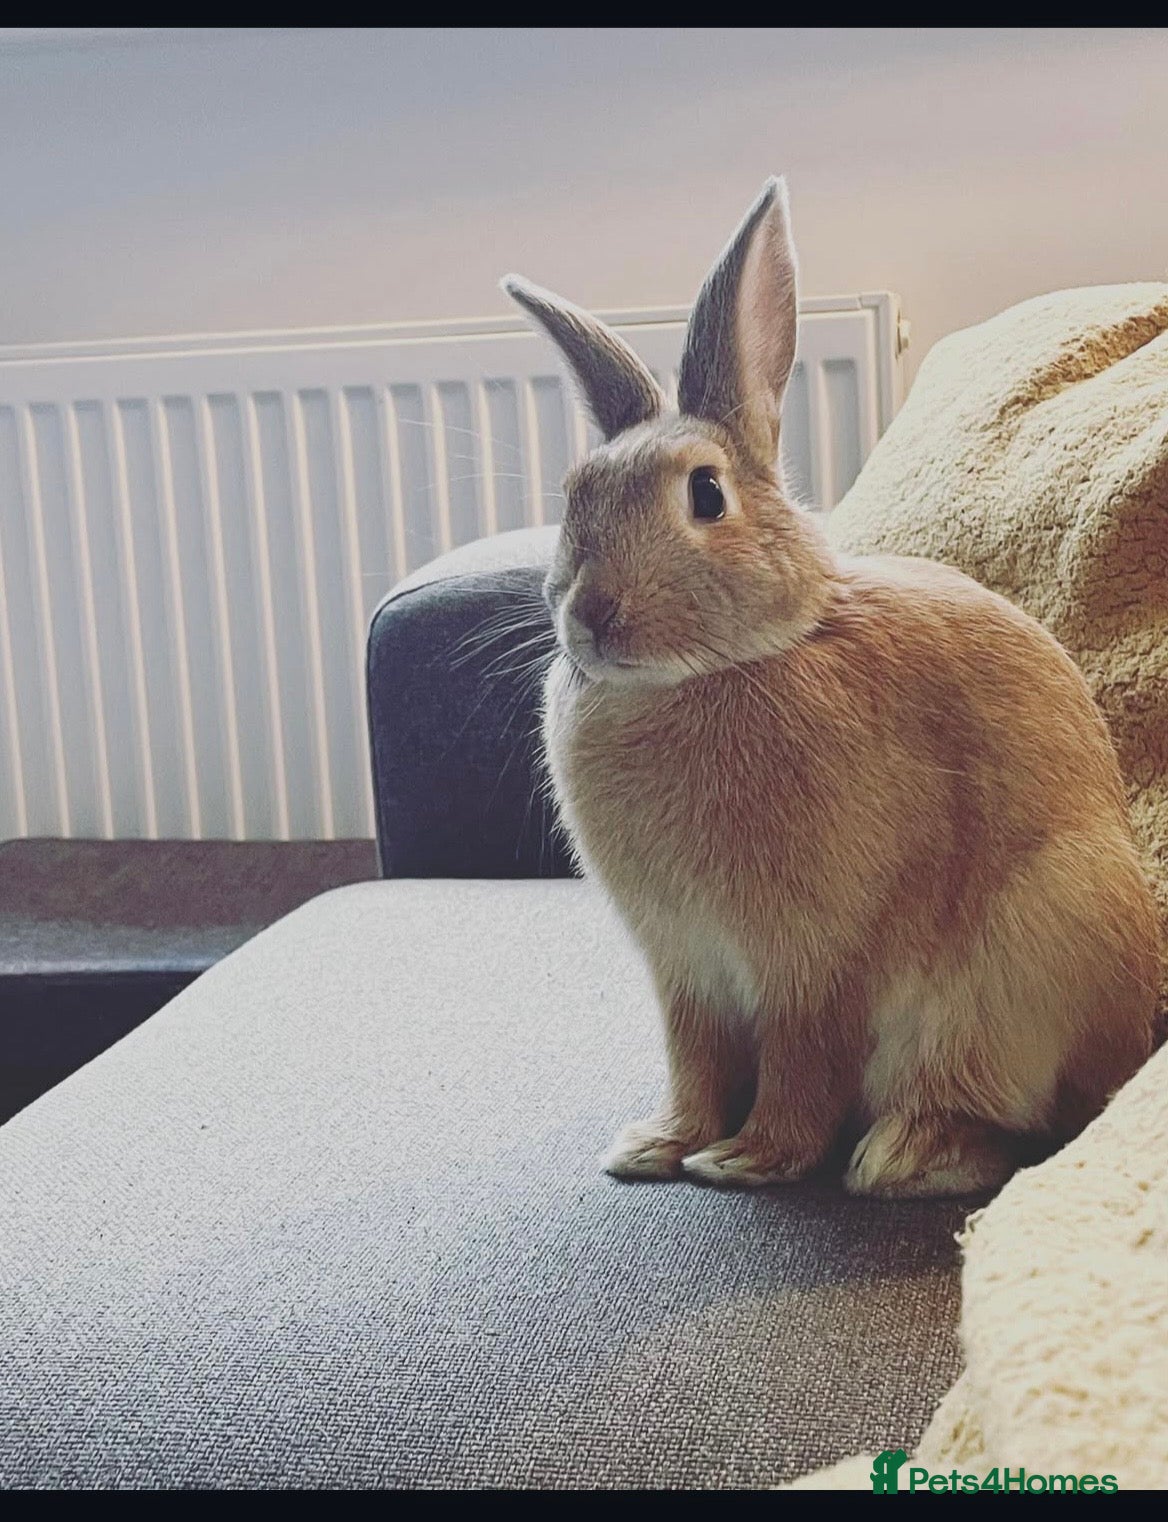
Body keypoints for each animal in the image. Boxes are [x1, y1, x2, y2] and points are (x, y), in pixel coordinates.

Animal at [501, 177, 1160, 1198]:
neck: (729, 664)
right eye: (575, 495)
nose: (593, 615)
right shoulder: (685, 973)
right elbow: (695, 1062)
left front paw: (745, 1160)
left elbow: (803, 1063)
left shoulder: (818, 962)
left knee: (1023, 1124)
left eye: (705, 495)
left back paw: (909, 1154)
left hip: (1029, 964)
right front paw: (654, 1146)